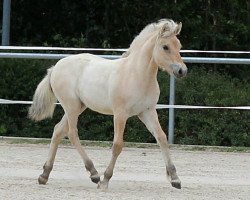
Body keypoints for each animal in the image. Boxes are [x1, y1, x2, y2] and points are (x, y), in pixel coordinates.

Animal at [28, 19, 187, 190]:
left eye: (179, 45)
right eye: (165, 47)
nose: (182, 71)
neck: (137, 75)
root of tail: (55, 67)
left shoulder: (147, 112)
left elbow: (162, 138)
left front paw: (175, 178)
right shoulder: (120, 114)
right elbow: (117, 145)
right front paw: (105, 180)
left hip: (78, 107)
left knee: (58, 130)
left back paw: (45, 175)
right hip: (71, 106)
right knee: (71, 133)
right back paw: (94, 174)